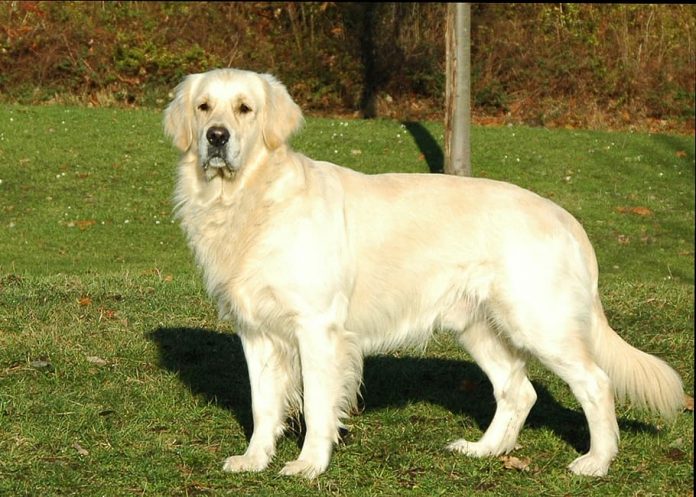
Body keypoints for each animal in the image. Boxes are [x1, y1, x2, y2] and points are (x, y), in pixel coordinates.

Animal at [164, 68, 684, 478]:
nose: (215, 137)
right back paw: (483, 450)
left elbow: (316, 403)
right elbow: (263, 404)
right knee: (519, 390)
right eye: (204, 106)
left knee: (595, 383)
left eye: (245, 109)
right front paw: (253, 460)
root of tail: (566, 218)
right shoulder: (254, 331)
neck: (250, 200)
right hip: (476, 325)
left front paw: (309, 464)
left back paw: (596, 461)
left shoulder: (317, 327)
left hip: (540, 322)